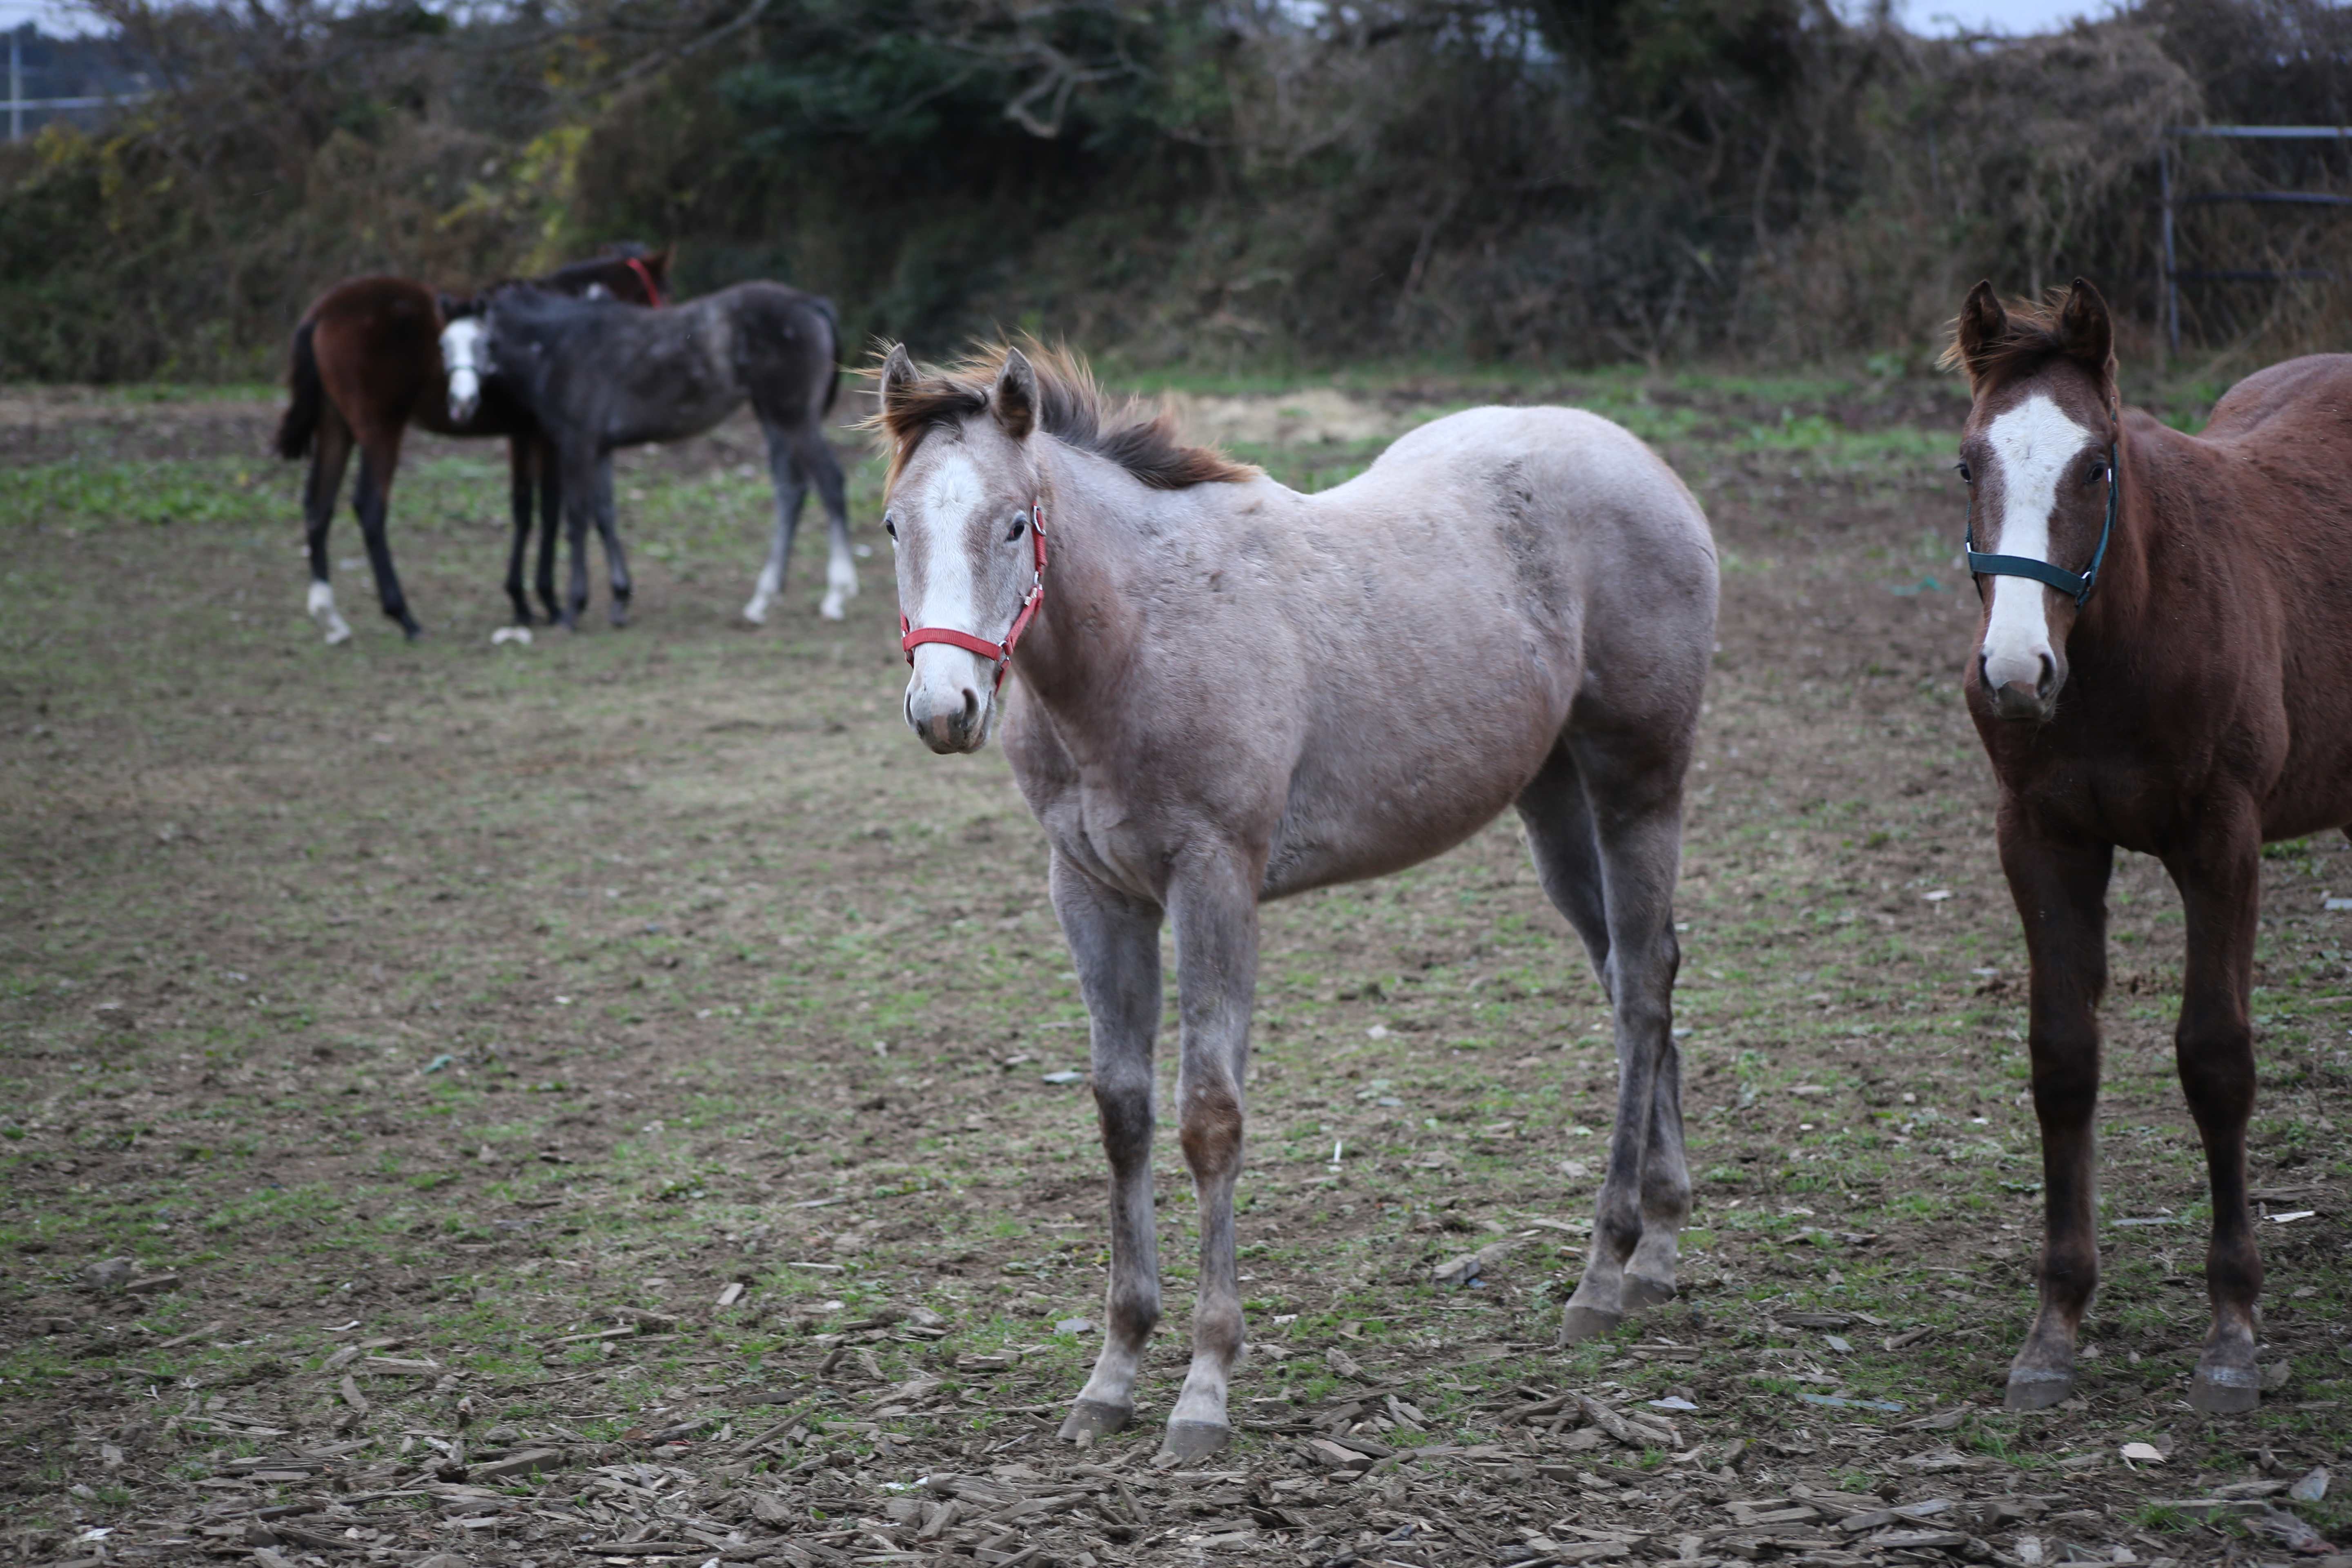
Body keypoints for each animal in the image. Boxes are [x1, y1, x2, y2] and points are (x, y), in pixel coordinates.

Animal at [272, 245, 673, 639]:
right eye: (663, 294)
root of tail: (324, 310)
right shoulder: (548, 437)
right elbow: (551, 510)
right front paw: (551, 601)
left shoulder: (522, 434)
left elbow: (524, 509)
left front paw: (521, 601)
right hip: (380, 431)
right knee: (370, 508)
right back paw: (403, 616)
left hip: (336, 427)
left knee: (318, 507)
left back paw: (330, 616)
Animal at [442, 282, 856, 630]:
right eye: (444, 345)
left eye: (483, 343)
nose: (461, 404)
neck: (558, 346)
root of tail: (809, 303)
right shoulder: (601, 449)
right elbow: (605, 516)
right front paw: (620, 599)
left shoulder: (577, 445)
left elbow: (576, 521)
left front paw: (574, 608)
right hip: (772, 417)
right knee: (792, 491)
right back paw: (762, 601)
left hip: (794, 417)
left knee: (830, 483)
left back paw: (837, 595)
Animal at [875, 341, 1722, 1457]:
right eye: (894, 524)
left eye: (1014, 522)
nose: (945, 710)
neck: (1137, 637)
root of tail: (1643, 462)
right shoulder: (1092, 892)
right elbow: (1122, 1113)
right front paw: (1113, 1372)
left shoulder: (1215, 879)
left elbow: (1209, 1117)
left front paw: (1202, 1387)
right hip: (1553, 801)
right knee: (1637, 970)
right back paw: (1657, 1248)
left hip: (1637, 780)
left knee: (1639, 994)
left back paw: (1604, 1269)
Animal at [1947, 276, 2352, 1420]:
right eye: (1967, 464)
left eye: (2096, 464)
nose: (2013, 672)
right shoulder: (2040, 838)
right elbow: (2061, 1058)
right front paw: (2054, 1325)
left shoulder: (2221, 840)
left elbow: (2215, 1059)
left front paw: (2232, 1332)